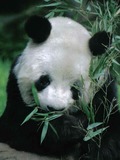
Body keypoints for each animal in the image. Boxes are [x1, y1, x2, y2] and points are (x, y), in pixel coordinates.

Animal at [0, 15, 120, 160]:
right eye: (44, 81)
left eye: (75, 89)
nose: (54, 109)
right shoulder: (15, 89)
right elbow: (21, 126)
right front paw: (70, 128)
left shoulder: (103, 90)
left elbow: (108, 127)